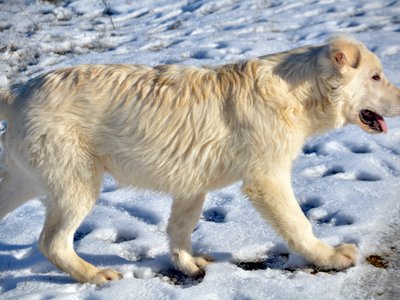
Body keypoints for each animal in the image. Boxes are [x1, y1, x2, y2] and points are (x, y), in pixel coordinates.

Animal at [0, 37, 400, 284]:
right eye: (376, 76)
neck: (295, 93)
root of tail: (19, 91)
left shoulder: (192, 184)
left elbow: (180, 228)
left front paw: (188, 264)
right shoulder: (267, 179)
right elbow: (299, 225)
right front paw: (329, 257)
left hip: (27, 180)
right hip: (78, 184)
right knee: (53, 242)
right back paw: (95, 275)